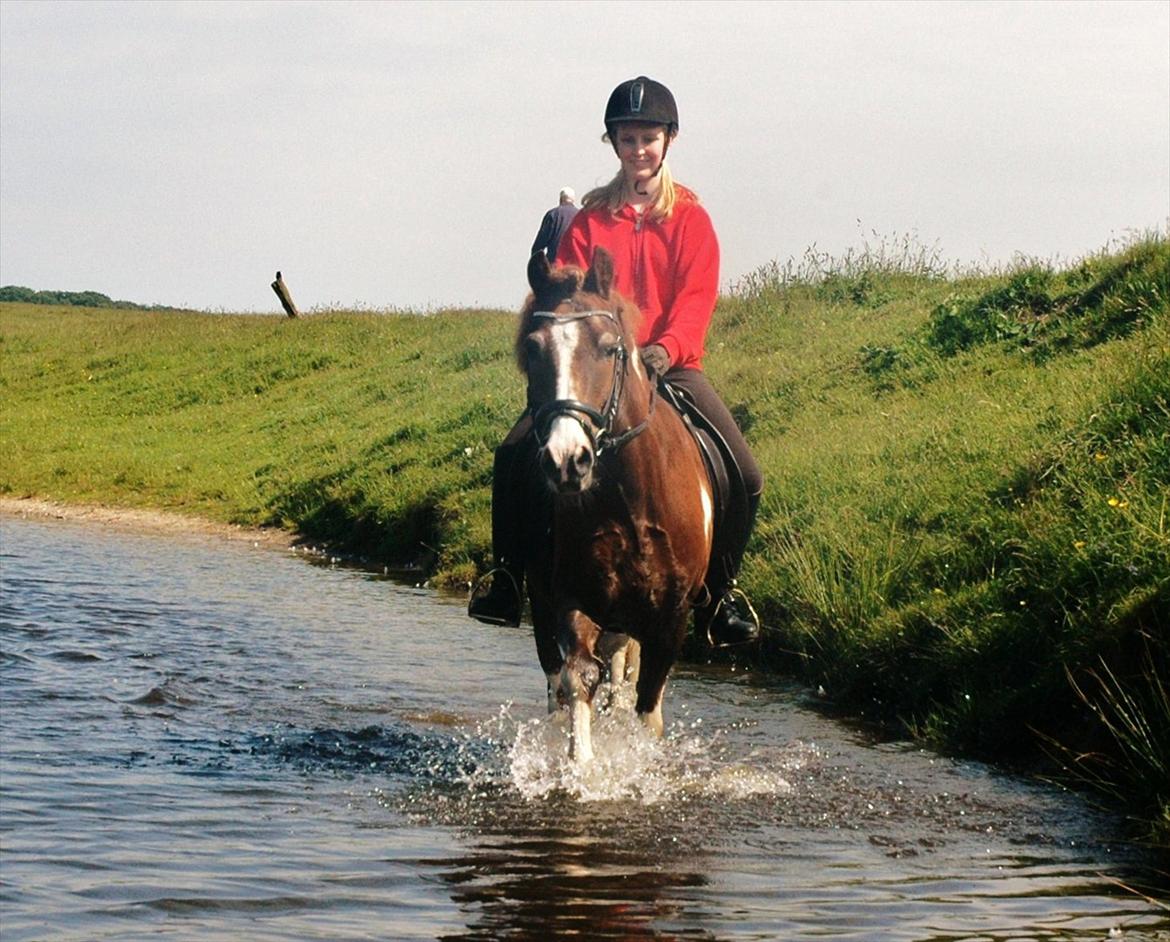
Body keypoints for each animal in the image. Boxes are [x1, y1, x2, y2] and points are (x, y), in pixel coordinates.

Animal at [519, 245, 711, 762]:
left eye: (609, 348)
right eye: (533, 349)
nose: (567, 460)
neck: (629, 500)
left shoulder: (671, 618)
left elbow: (648, 707)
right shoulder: (572, 599)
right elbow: (578, 680)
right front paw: (581, 767)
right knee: (558, 684)